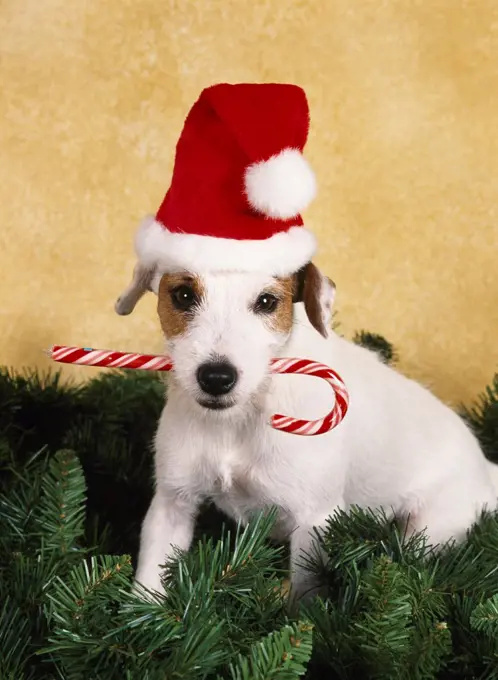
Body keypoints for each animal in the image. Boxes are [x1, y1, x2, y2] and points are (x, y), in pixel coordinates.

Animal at [115, 260, 498, 600]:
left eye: (267, 301)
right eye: (182, 295)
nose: (217, 378)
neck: (242, 418)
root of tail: (485, 469)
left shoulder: (313, 520)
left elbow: (305, 594)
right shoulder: (172, 503)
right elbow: (151, 578)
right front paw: (141, 619)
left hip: (428, 528)